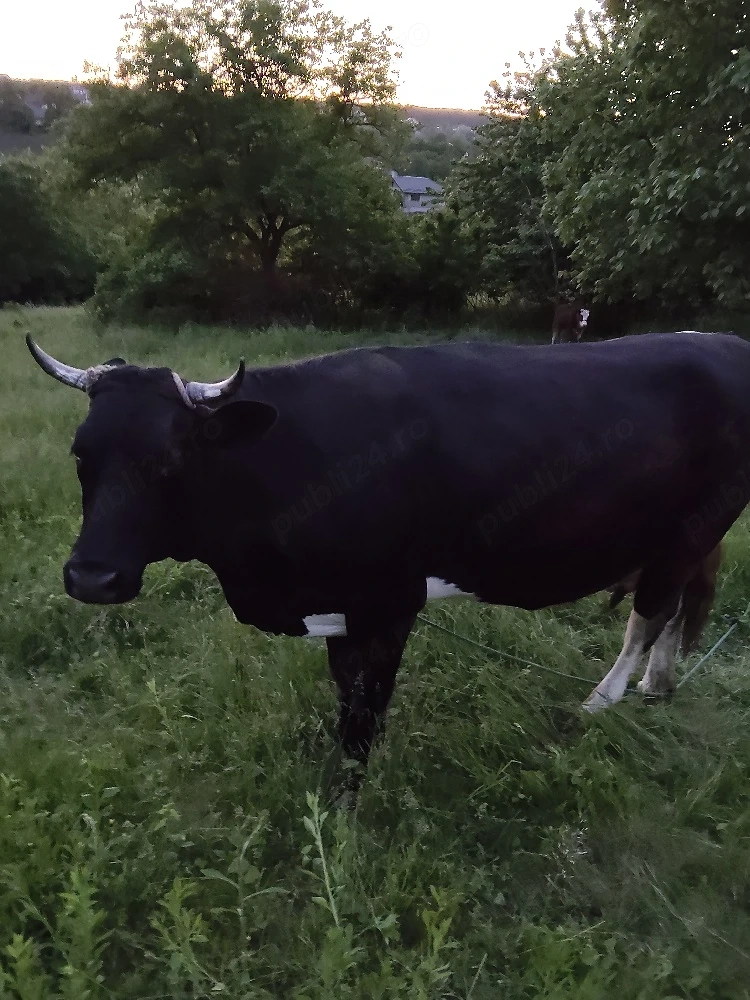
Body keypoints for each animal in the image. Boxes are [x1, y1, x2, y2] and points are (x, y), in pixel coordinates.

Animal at [26, 331, 749, 775]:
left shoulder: (389, 602)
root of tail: (723, 341)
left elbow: (362, 714)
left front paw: (344, 807)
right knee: (677, 606)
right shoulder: (340, 610)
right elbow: (346, 696)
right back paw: (658, 684)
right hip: (691, 537)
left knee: (652, 610)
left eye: (170, 461)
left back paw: (604, 700)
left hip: (692, 528)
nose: (91, 576)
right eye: (81, 455)